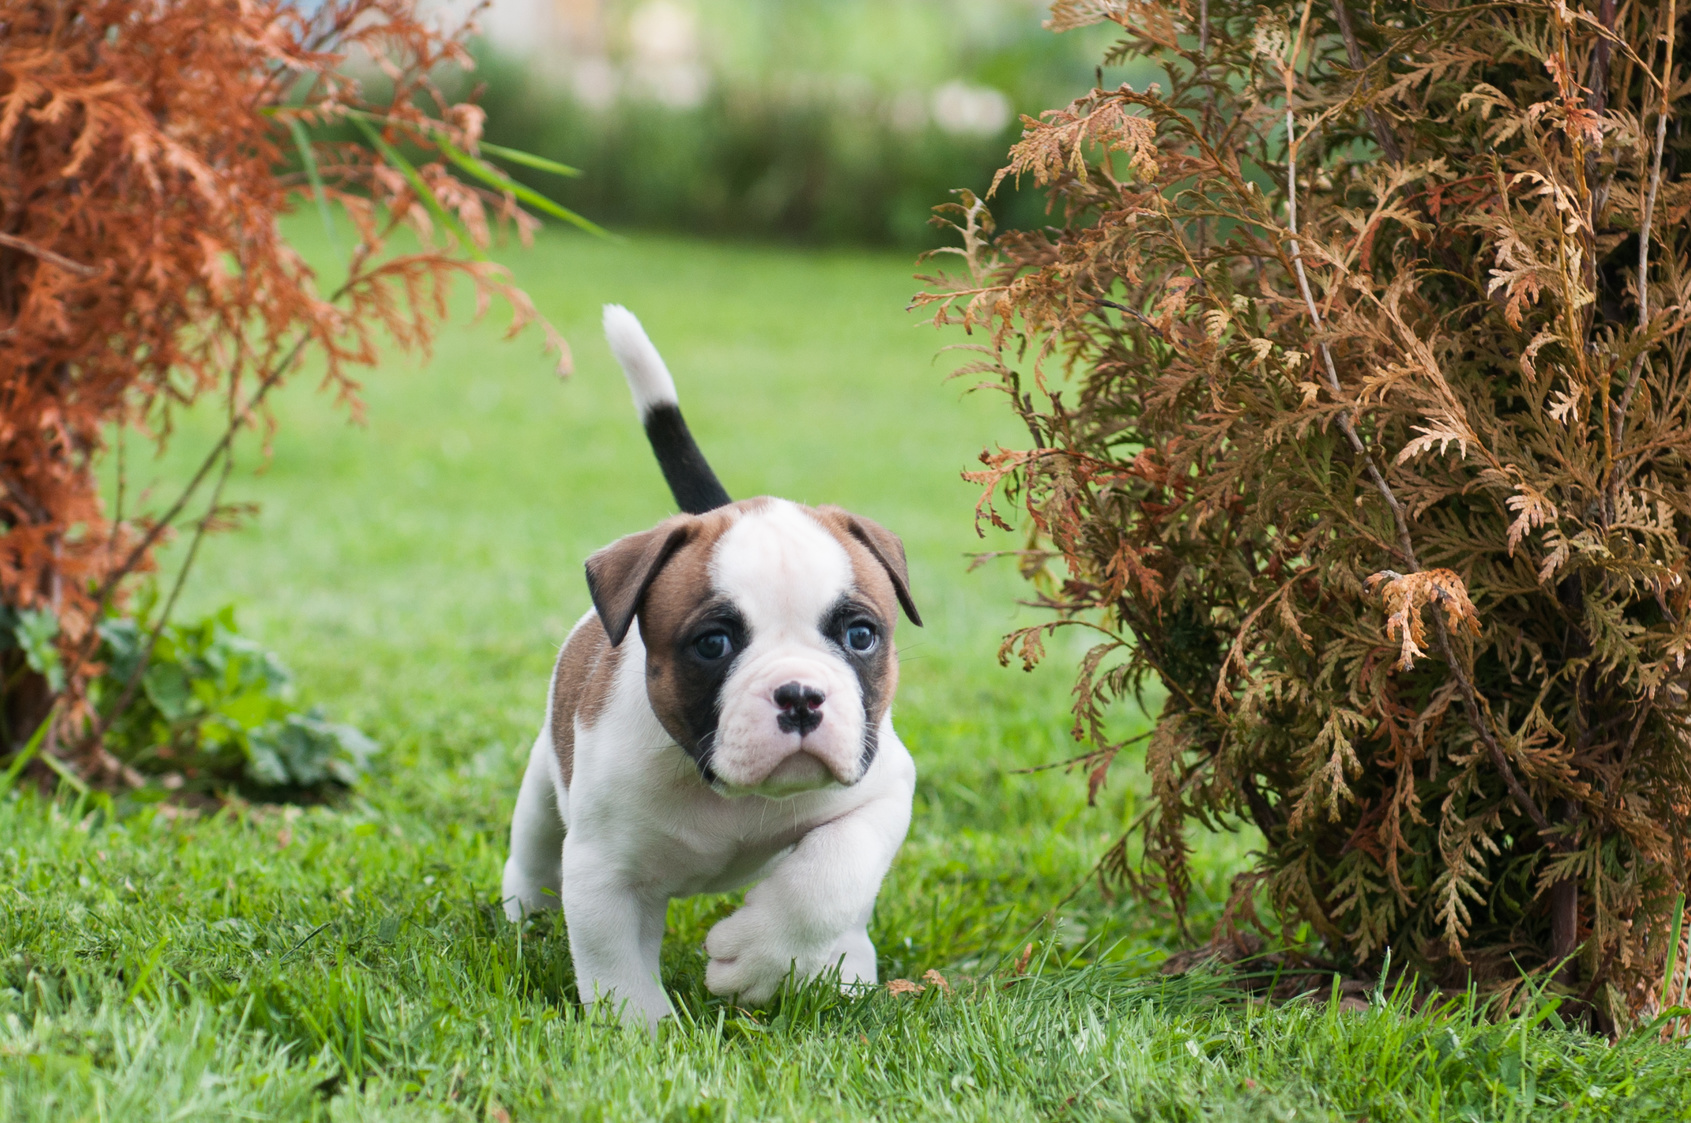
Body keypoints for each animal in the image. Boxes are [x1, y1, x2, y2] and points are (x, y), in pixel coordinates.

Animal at [500, 304, 919, 1028]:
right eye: (713, 645)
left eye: (861, 635)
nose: (800, 695)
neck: (725, 792)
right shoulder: (605, 874)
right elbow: (616, 969)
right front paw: (642, 1036)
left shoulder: (881, 790)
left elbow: (829, 876)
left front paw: (758, 957)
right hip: (541, 795)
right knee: (532, 855)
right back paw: (523, 914)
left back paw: (845, 968)